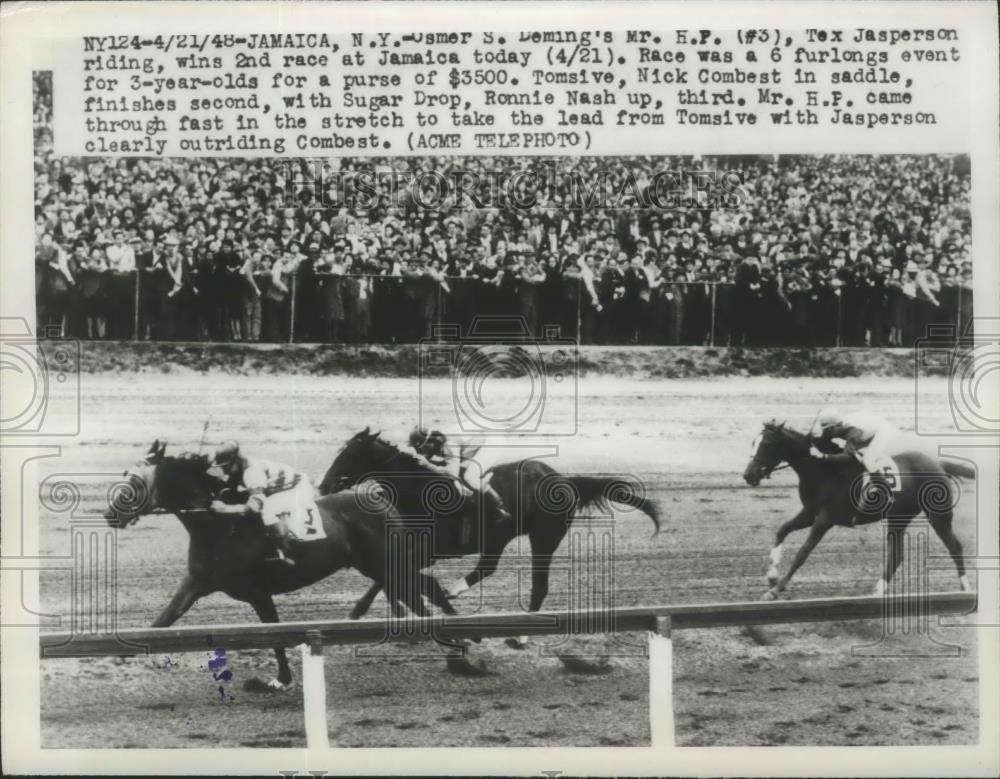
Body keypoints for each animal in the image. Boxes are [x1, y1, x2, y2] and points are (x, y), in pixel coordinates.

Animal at [102, 442, 460, 692]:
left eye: (136, 481)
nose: (109, 514)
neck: (219, 527)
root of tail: (380, 497)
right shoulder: (195, 582)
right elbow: (163, 620)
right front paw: (120, 652)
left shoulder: (258, 593)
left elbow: (274, 636)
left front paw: (281, 680)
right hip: (382, 568)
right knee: (428, 589)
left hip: (385, 567)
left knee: (421, 602)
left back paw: (457, 653)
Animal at [320, 430, 664, 644]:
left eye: (348, 455)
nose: (323, 486)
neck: (417, 493)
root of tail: (564, 479)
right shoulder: (408, 548)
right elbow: (388, 578)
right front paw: (367, 612)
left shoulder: (428, 549)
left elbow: (391, 577)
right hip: (499, 538)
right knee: (487, 568)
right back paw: (457, 591)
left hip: (544, 537)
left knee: (539, 585)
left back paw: (522, 633)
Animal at [748, 424, 972, 600]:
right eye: (753, 442)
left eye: (766, 444)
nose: (748, 475)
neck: (824, 470)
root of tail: (939, 464)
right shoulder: (809, 513)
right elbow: (782, 530)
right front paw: (772, 575)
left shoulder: (825, 519)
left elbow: (803, 552)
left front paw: (776, 589)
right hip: (898, 518)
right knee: (897, 555)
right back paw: (878, 590)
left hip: (938, 515)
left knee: (955, 546)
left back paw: (965, 587)